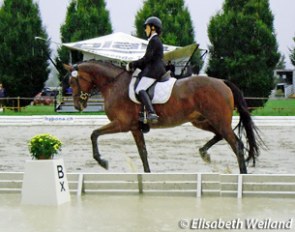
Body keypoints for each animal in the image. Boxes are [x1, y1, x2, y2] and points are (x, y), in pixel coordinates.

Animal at [64, 60, 262, 173]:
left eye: (72, 81)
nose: (77, 105)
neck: (114, 84)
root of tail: (222, 82)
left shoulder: (122, 124)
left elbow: (94, 134)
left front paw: (102, 161)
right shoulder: (134, 128)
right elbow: (142, 152)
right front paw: (146, 175)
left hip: (218, 120)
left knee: (236, 144)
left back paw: (242, 175)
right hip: (202, 121)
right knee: (221, 136)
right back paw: (204, 153)